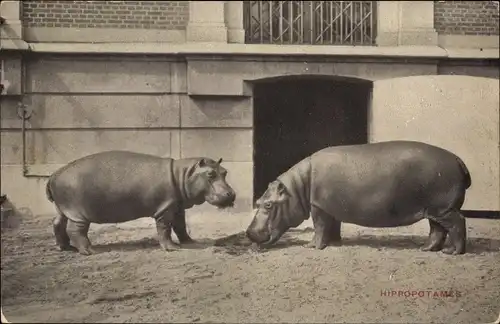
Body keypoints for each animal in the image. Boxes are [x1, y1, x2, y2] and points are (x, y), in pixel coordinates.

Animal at [45, 152, 236, 256]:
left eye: (225, 172)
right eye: (210, 174)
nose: (232, 194)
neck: (183, 174)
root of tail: (53, 175)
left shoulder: (177, 206)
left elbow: (181, 226)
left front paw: (191, 242)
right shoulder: (165, 209)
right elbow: (165, 229)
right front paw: (173, 248)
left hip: (62, 208)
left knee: (57, 223)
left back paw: (65, 248)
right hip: (77, 212)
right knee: (75, 230)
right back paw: (90, 251)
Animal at [246, 141, 472, 256]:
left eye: (268, 204)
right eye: (257, 202)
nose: (248, 232)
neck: (298, 186)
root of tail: (458, 159)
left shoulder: (318, 206)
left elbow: (319, 226)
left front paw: (311, 247)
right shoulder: (330, 207)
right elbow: (332, 226)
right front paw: (334, 243)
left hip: (442, 208)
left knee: (458, 223)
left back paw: (453, 252)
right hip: (434, 209)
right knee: (438, 229)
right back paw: (428, 249)